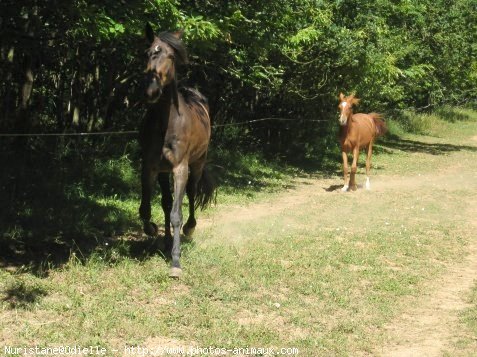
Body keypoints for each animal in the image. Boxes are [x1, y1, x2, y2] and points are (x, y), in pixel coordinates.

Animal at [139, 23, 215, 276]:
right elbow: (147, 209)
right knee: (165, 201)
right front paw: (153, 230)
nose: (152, 91)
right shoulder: (150, 167)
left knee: (191, 193)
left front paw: (175, 262)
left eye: (171, 56)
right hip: (164, 172)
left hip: (197, 163)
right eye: (148, 53)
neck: (167, 123)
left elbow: (176, 213)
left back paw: (189, 229)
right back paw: (165, 239)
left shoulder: (180, 168)